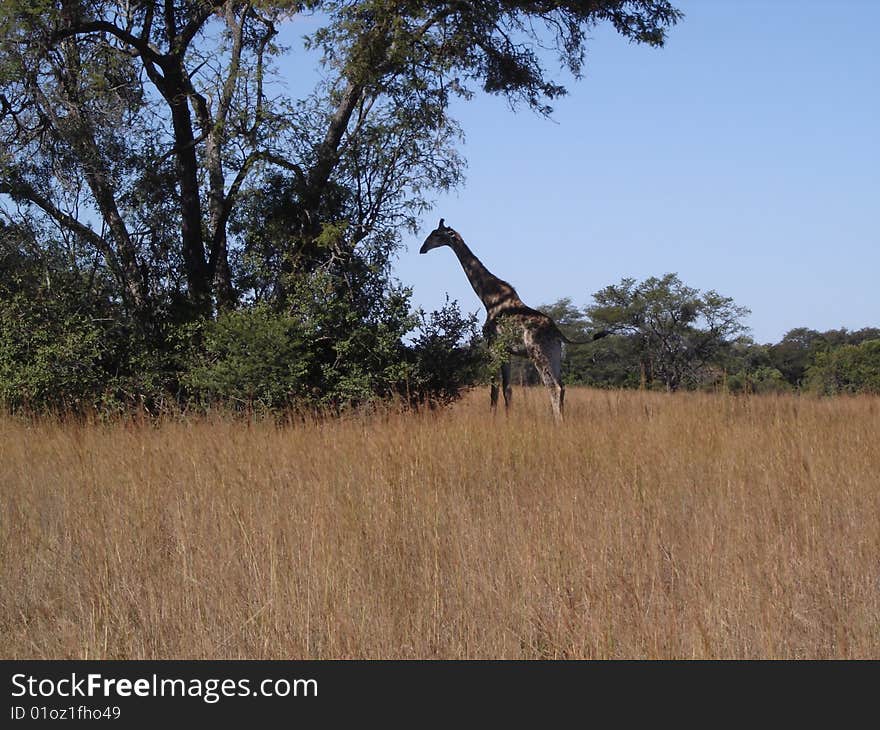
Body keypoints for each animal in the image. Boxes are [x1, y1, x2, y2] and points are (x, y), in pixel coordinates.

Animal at [420, 219, 604, 418]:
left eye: (437, 235)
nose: (422, 248)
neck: (489, 298)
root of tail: (557, 332)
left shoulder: (493, 346)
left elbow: (494, 390)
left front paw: (493, 420)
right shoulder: (507, 351)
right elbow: (507, 390)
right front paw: (508, 420)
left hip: (538, 353)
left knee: (553, 387)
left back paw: (558, 422)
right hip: (554, 354)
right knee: (562, 387)